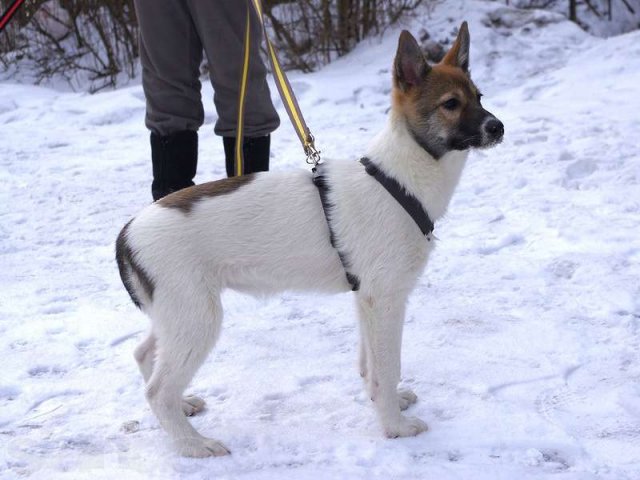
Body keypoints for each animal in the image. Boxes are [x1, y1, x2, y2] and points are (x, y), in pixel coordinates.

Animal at [116, 23, 504, 458]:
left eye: (479, 97)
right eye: (451, 104)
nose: (497, 127)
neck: (398, 180)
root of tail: (128, 232)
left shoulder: (365, 298)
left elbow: (370, 367)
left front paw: (385, 403)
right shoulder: (385, 298)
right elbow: (387, 368)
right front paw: (394, 426)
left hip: (175, 314)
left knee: (145, 354)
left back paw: (183, 408)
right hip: (197, 318)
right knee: (157, 391)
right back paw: (193, 445)